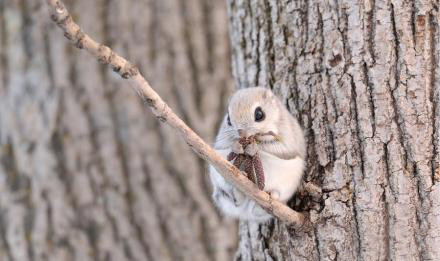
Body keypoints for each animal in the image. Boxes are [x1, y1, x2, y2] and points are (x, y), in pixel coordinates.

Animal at [208, 86, 304, 220]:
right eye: (228, 119)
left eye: (259, 114)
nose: (241, 132)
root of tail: (245, 213)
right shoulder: (221, 142)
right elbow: (226, 145)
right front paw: (237, 147)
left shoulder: (287, 137)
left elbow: (280, 148)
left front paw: (253, 148)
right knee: (231, 198)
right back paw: (238, 191)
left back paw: (269, 197)